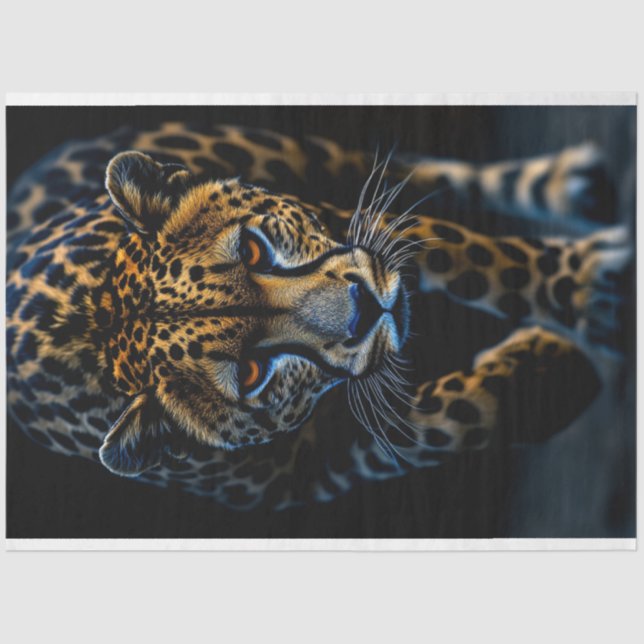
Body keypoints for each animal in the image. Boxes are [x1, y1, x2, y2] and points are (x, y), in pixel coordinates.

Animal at [6, 120, 631, 510]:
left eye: (252, 249)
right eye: (249, 375)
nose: (365, 307)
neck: (92, 320)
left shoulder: (349, 226)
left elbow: (472, 258)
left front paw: (583, 289)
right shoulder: (302, 478)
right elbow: (430, 428)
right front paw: (552, 374)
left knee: (416, 170)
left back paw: (570, 184)